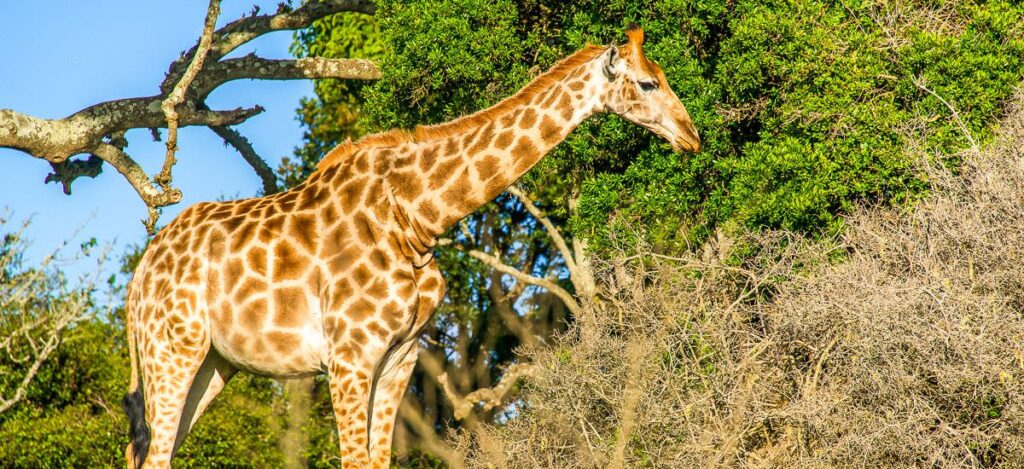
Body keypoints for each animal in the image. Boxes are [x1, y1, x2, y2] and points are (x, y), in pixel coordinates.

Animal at [122, 25, 699, 468]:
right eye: (648, 83)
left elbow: (378, 461)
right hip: (172, 349)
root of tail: (140, 275)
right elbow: (353, 461)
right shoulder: (349, 357)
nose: (691, 135)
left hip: (213, 364)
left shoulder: (398, 358)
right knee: (155, 454)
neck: (416, 216)